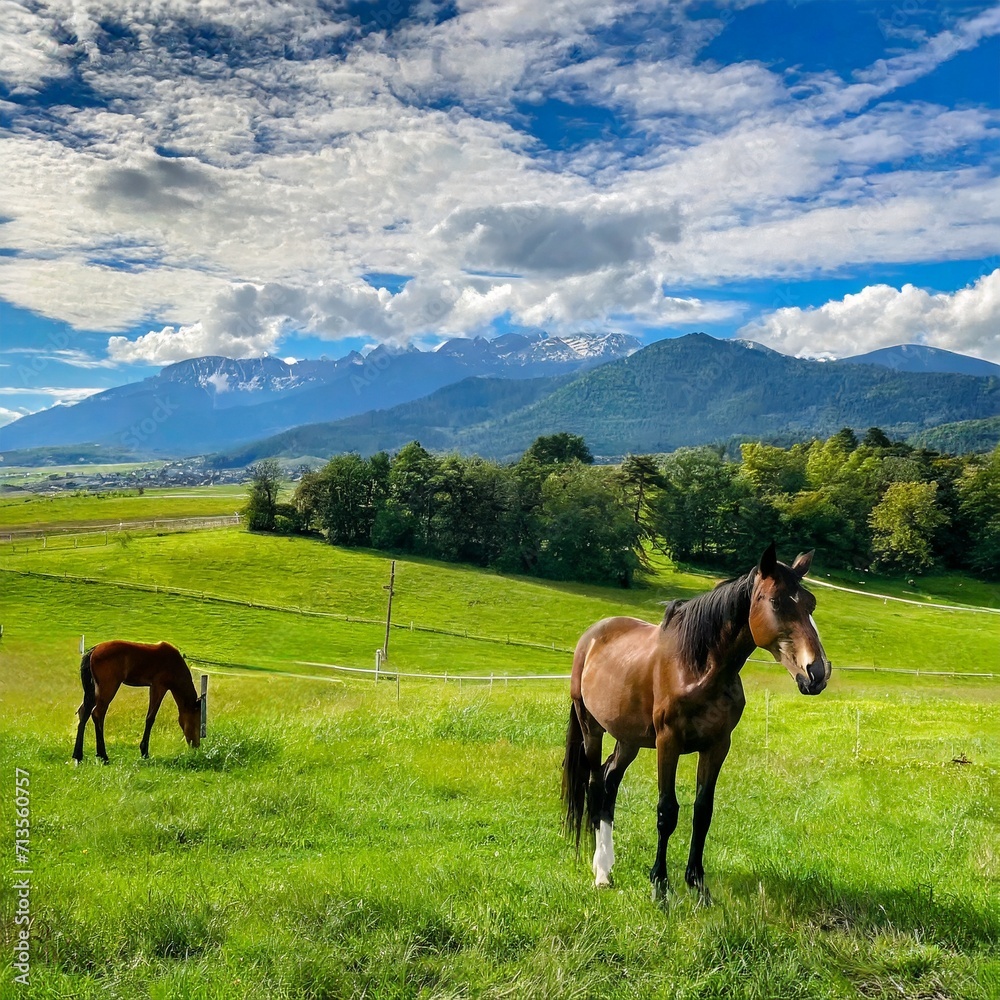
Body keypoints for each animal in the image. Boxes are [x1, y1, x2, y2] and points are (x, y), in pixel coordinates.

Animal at [72, 640, 201, 764]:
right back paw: (103, 756)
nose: (196, 745)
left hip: (93, 692)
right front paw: (144, 752)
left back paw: (78, 755)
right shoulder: (158, 687)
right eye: (198, 722)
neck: (173, 663)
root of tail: (94, 650)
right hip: (108, 689)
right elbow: (150, 718)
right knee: (98, 714)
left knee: (83, 713)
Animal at [564, 544, 828, 904]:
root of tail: (591, 637)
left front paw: (698, 886)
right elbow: (667, 811)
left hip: (628, 740)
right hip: (591, 727)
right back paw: (601, 871)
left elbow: (703, 811)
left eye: (811, 603)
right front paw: (660, 886)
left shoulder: (717, 746)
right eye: (776, 602)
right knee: (593, 784)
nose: (817, 672)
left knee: (609, 781)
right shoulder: (668, 743)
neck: (697, 668)